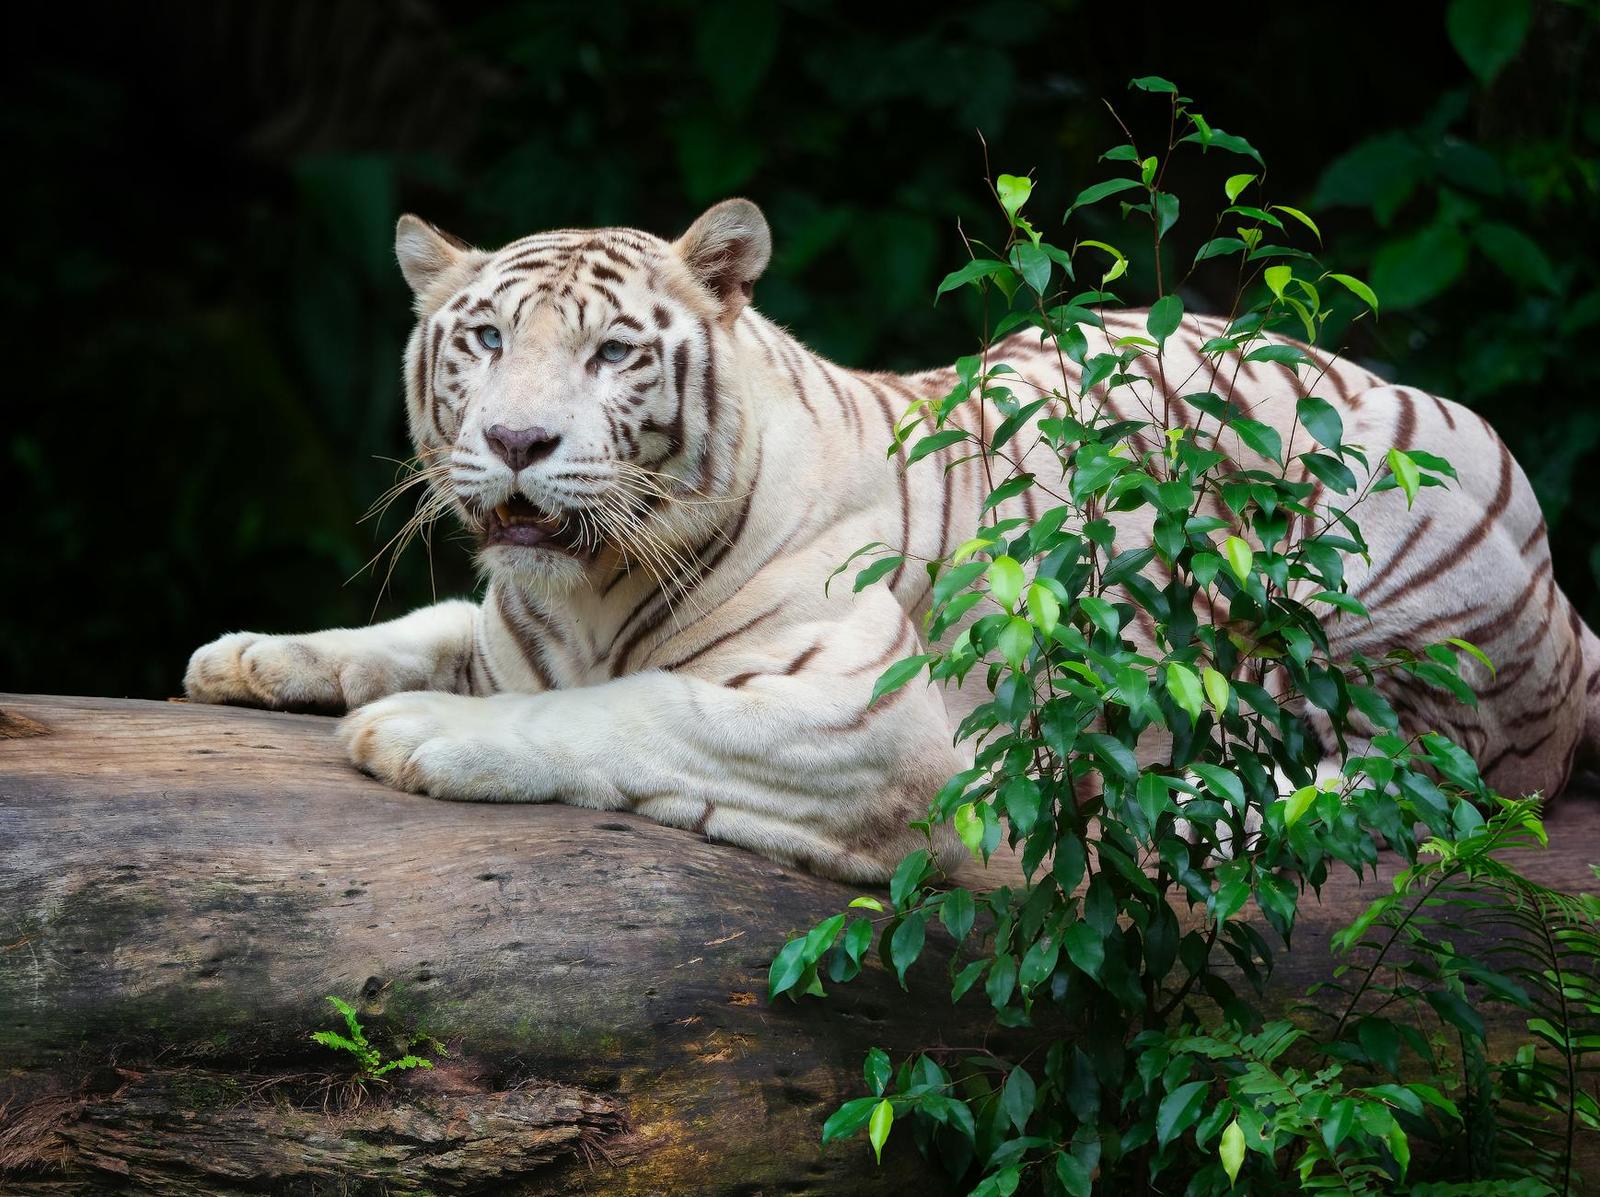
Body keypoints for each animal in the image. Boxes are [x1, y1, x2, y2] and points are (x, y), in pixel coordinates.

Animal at [184, 198, 1600, 883]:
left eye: (612, 353)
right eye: (482, 340)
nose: (519, 441)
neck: (582, 589)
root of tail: (1568, 614)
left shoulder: (862, 708)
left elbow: (631, 709)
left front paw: (421, 734)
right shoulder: (511, 623)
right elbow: (423, 629)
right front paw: (250, 655)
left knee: (1407, 784)